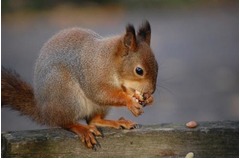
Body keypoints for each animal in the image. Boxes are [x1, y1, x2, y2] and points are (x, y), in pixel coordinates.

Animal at [2, 20, 159, 149]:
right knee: (64, 122)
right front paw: (130, 101)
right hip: (66, 93)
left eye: (157, 66)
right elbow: (100, 93)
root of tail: (44, 111)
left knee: (93, 120)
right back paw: (82, 129)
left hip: (97, 106)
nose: (151, 91)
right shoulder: (93, 75)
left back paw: (116, 122)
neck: (109, 61)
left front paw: (147, 99)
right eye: (139, 70)